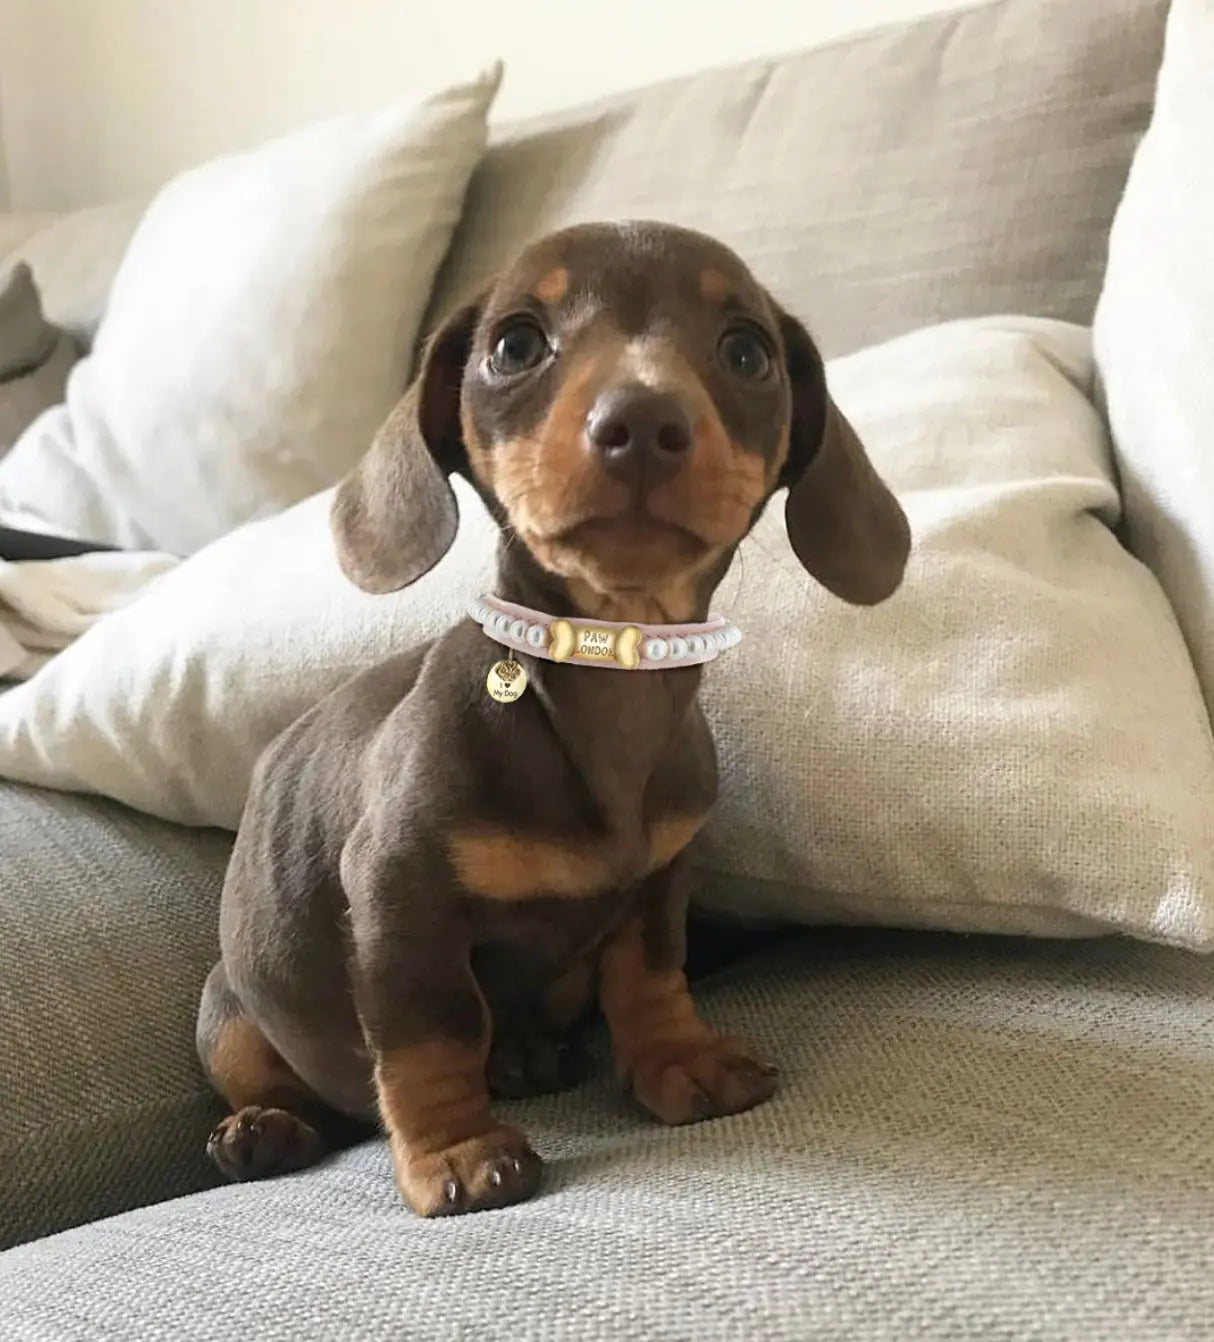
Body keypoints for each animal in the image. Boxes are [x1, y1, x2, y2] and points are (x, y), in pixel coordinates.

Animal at [194, 222, 912, 1218]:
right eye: (515, 345)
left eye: (747, 353)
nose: (641, 424)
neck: (611, 680)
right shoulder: (399, 901)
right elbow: (432, 1036)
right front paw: (457, 1149)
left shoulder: (659, 882)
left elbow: (650, 976)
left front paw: (679, 1060)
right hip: (225, 1007)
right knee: (278, 1084)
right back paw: (264, 1129)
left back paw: (532, 1056)